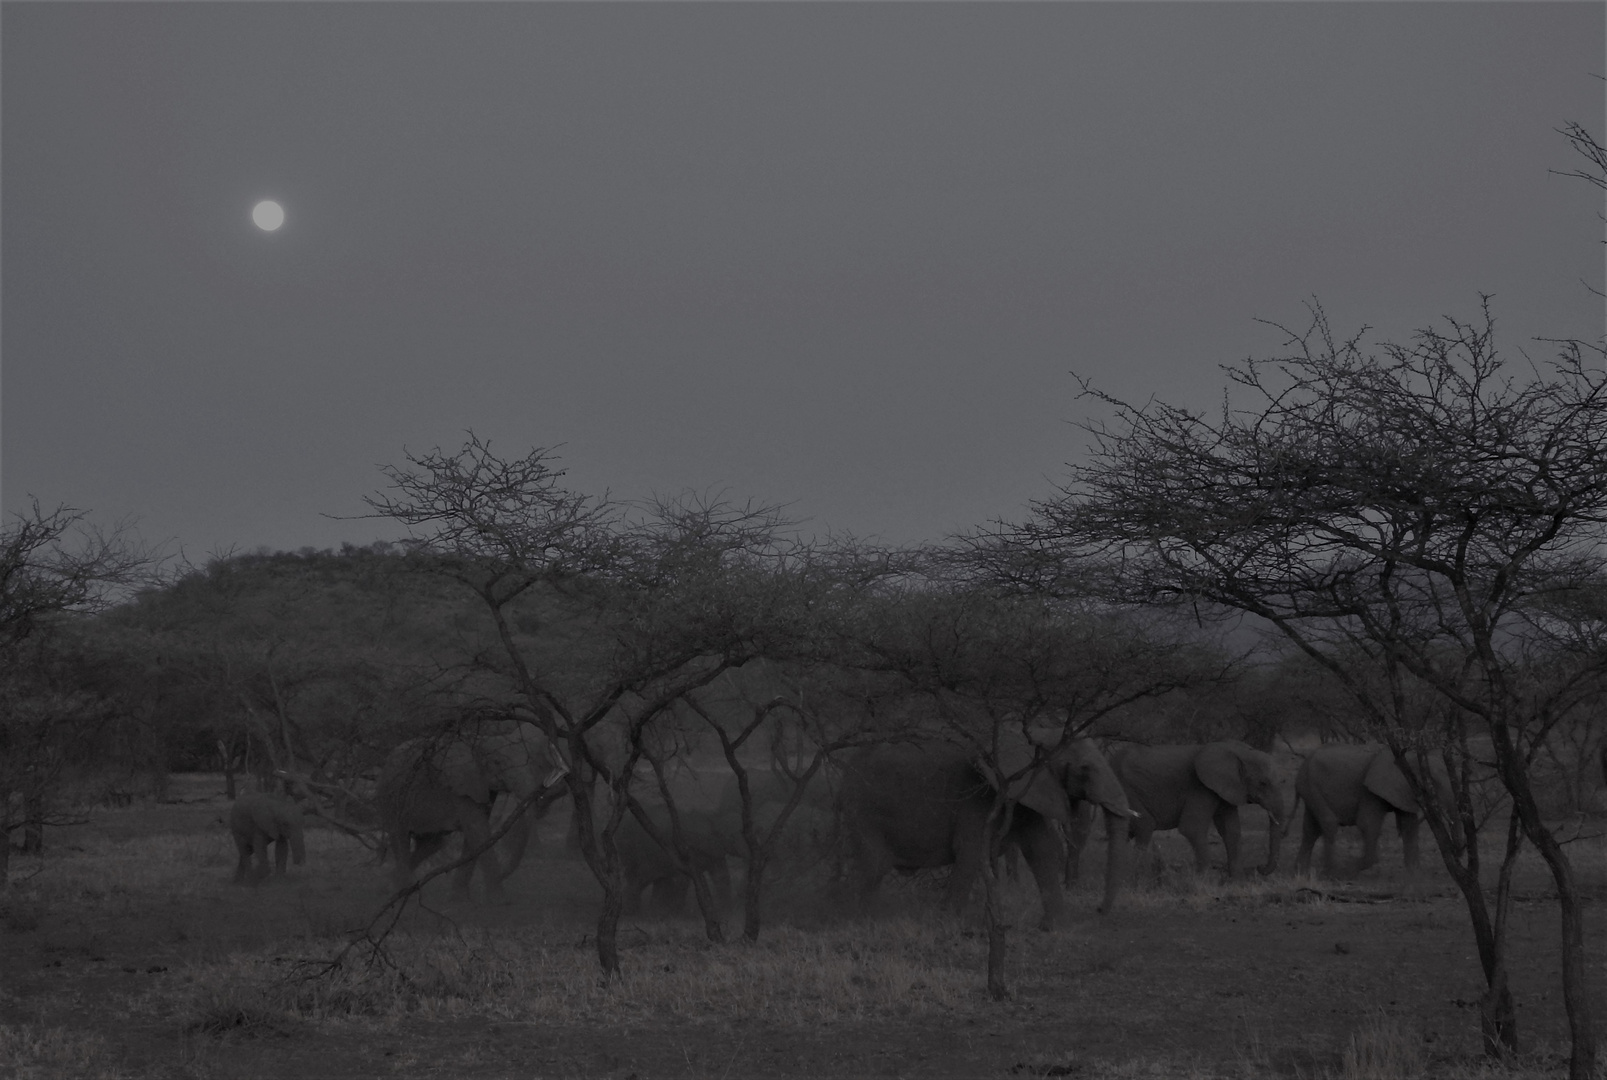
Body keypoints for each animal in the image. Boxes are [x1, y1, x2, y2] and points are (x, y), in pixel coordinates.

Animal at [376, 713, 572, 900]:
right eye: (498, 763)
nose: (503, 873)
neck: (481, 742)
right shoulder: (460, 785)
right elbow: (478, 830)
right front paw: (500, 901)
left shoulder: (482, 786)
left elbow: (474, 836)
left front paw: (459, 898)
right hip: (391, 797)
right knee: (400, 838)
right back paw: (404, 893)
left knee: (432, 844)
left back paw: (389, 886)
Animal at [835, 739, 1137, 932]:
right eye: (1085, 768)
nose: (1099, 910)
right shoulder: (980, 798)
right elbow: (969, 852)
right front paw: (946, 925)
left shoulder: (1028, 795)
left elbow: (1041, 850)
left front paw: (1053, 928)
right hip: (863, 809)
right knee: (872, 867)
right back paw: (847, 920)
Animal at [1112, 742, 1285, 874]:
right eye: (1263, 783)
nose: (1260, 867)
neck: (1236, 750)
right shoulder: (1200, 786)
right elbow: (1192, 828)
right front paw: (1206, 879)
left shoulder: (1225, 789)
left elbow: (1231, 830)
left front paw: (1236, 879)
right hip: (1124, 790)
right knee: (1145, 826)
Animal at [1292, 742, 1459, 874]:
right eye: (1433, 784)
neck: (1408, 758)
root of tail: (1303, 764)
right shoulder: (1370, 791)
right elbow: (1367, 823)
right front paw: (1349, 868)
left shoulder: (1403, 790)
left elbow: (1408, 825)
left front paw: (1414, 874)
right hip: (1311, 786)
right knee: (1328, 824)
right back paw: (1331, 871)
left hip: (1310, 789)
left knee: (1311, 830)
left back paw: (1301, 872)